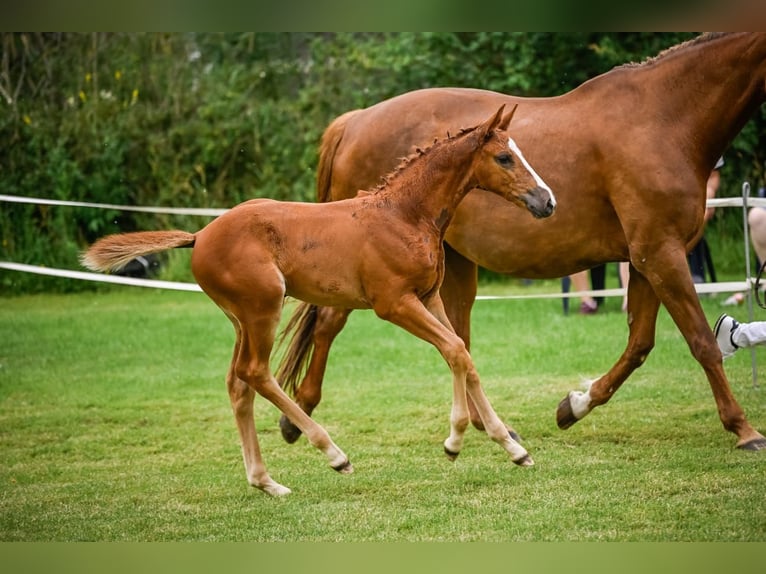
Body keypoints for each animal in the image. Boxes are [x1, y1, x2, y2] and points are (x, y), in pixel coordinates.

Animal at [81, 106, 556, 498]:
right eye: (504, 158)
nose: (546, 201)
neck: (404, 214)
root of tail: (199, 236)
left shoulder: (428, 298)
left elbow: (460, 355)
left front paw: (512, 447)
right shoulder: (394, 303)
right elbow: (456, 350)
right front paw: (455, 440)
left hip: (241, 319)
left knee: (237, 383)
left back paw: (267, 482)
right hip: (263, 308)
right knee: (256, 373)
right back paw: (333, 454)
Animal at [280, 32, 766, 454]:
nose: (545, 199)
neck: (663, 118)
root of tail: (355, 121)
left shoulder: (646, 259)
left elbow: (640, 344)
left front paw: (574, 405)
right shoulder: (661, 254)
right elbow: (701, 342)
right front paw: (743, 429)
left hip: (453, 266)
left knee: (457, 341)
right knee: (330, 324)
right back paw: (297, 415)